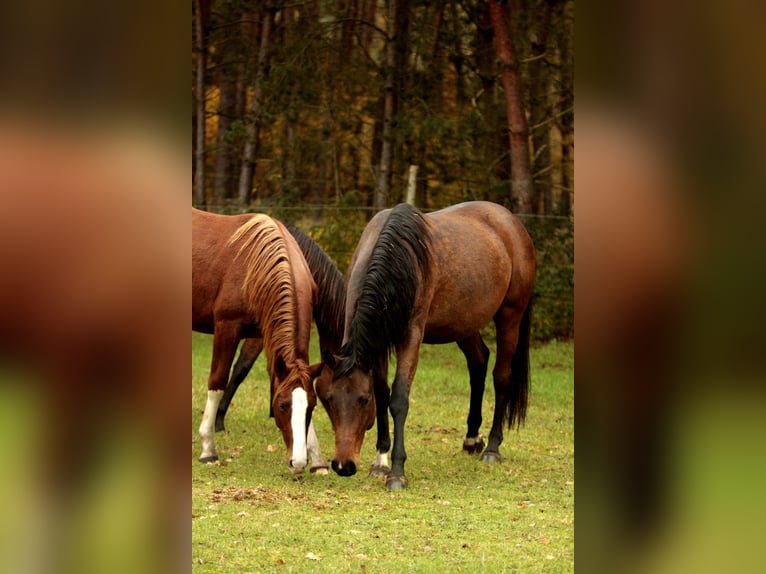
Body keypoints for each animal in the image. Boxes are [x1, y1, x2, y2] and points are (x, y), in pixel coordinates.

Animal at [194, 209, 326, 474]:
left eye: (312, 406)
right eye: (282, 406)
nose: (298, 463)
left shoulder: (264, 335)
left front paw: (316, 458)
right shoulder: (227, 328)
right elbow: (217, 382)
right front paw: (208, 448)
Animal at [316, 201, 536, 490]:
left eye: (363, 401)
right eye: (329, 399)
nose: (343, 466)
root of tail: (512, 222)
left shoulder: (411, 336)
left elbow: (398, 398)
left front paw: (397, 473)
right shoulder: (379, 341)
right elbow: (383, 391)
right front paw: (380, 461)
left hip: (510, 317)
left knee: (501, 377)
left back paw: (492, 448)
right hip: (463, 323)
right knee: (478, 363)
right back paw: (472, 439)